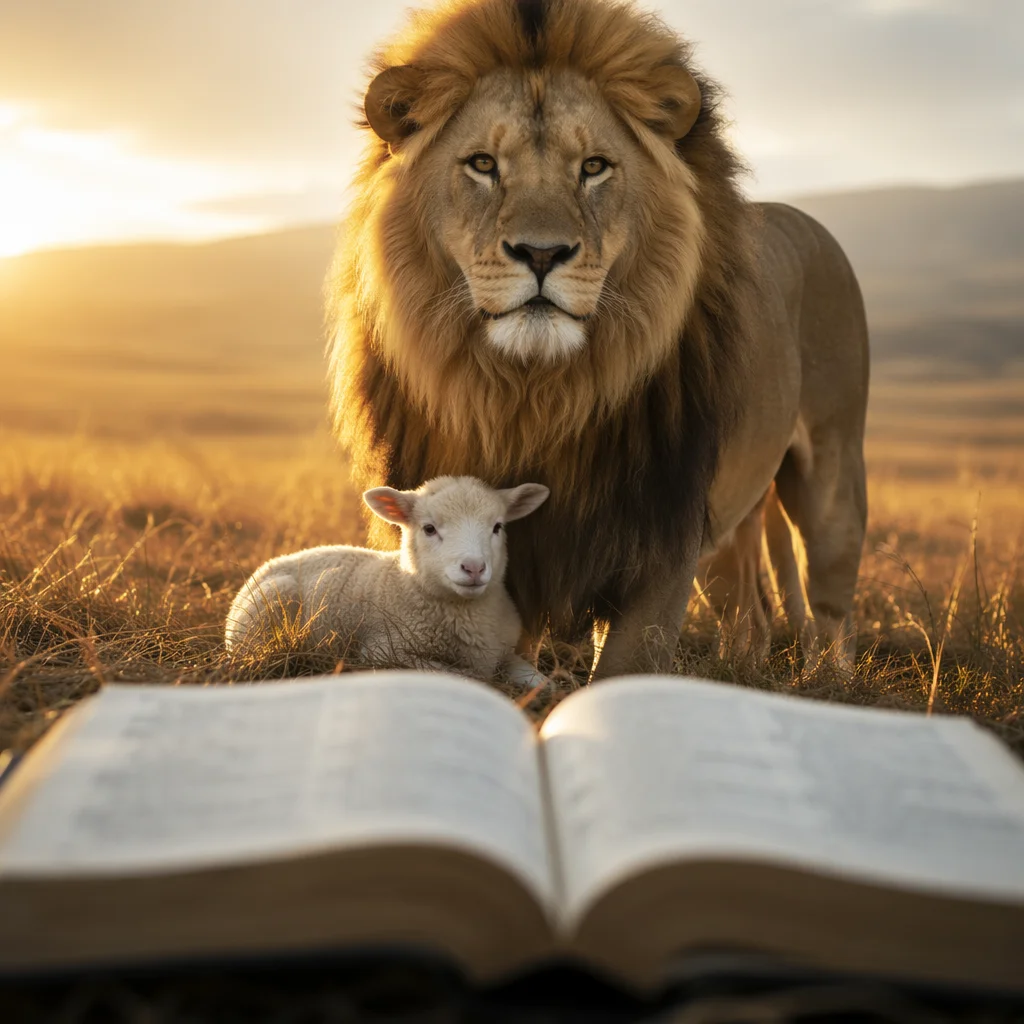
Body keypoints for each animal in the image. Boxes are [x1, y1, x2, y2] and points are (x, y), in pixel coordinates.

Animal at [225, 475, 550, 689]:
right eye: (429, 528)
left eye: (497, 527)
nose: (473, 568)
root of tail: (267, 565)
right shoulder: (383, 651)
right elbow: (458, 675)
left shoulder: (507, 650)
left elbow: (543, 683)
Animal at [327, 0, 869, 679]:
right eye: (483, 164)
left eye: (593, 167)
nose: (541, 253)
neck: (534, 394)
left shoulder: (662, 538)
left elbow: (623, 671)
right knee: (749, 608)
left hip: (833, 479)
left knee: (830, 609)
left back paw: (827, 683)